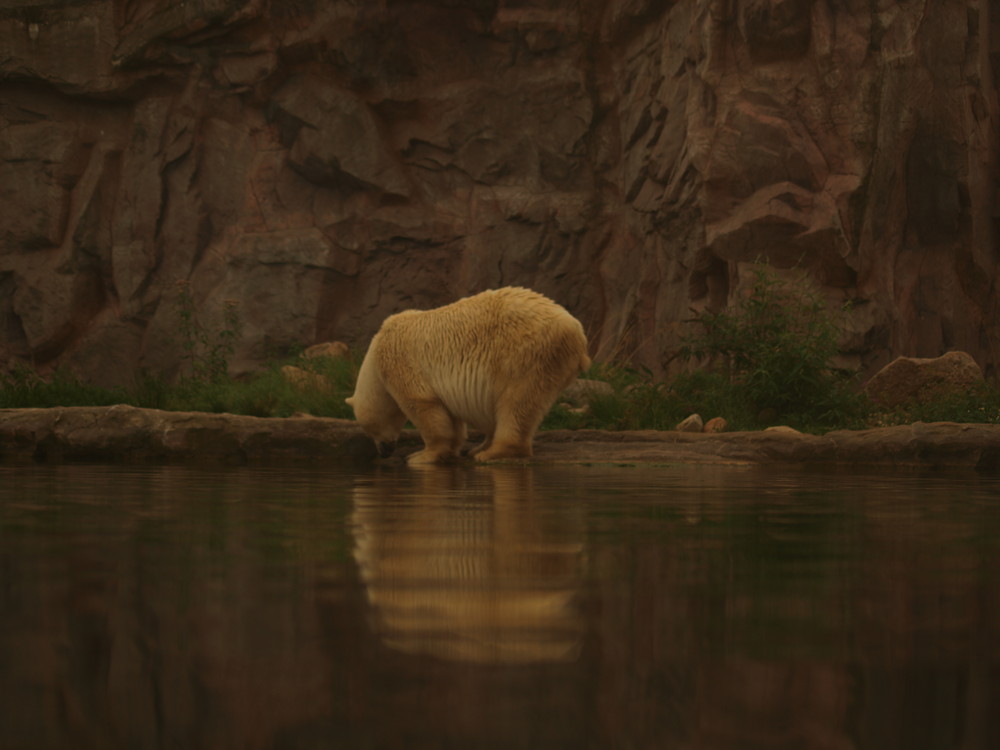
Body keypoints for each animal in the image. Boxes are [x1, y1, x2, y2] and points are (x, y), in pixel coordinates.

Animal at [348, 288, 588, 464]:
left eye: (369, 429)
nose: (383, 452)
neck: (375, 356)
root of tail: (575, 330)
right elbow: (450, 416)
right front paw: (452, 449)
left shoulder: (401, 362)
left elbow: (423, 405)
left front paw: (420, 456)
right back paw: (479, 448)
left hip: (525, 354)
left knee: (516, 402)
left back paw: (490, 453)